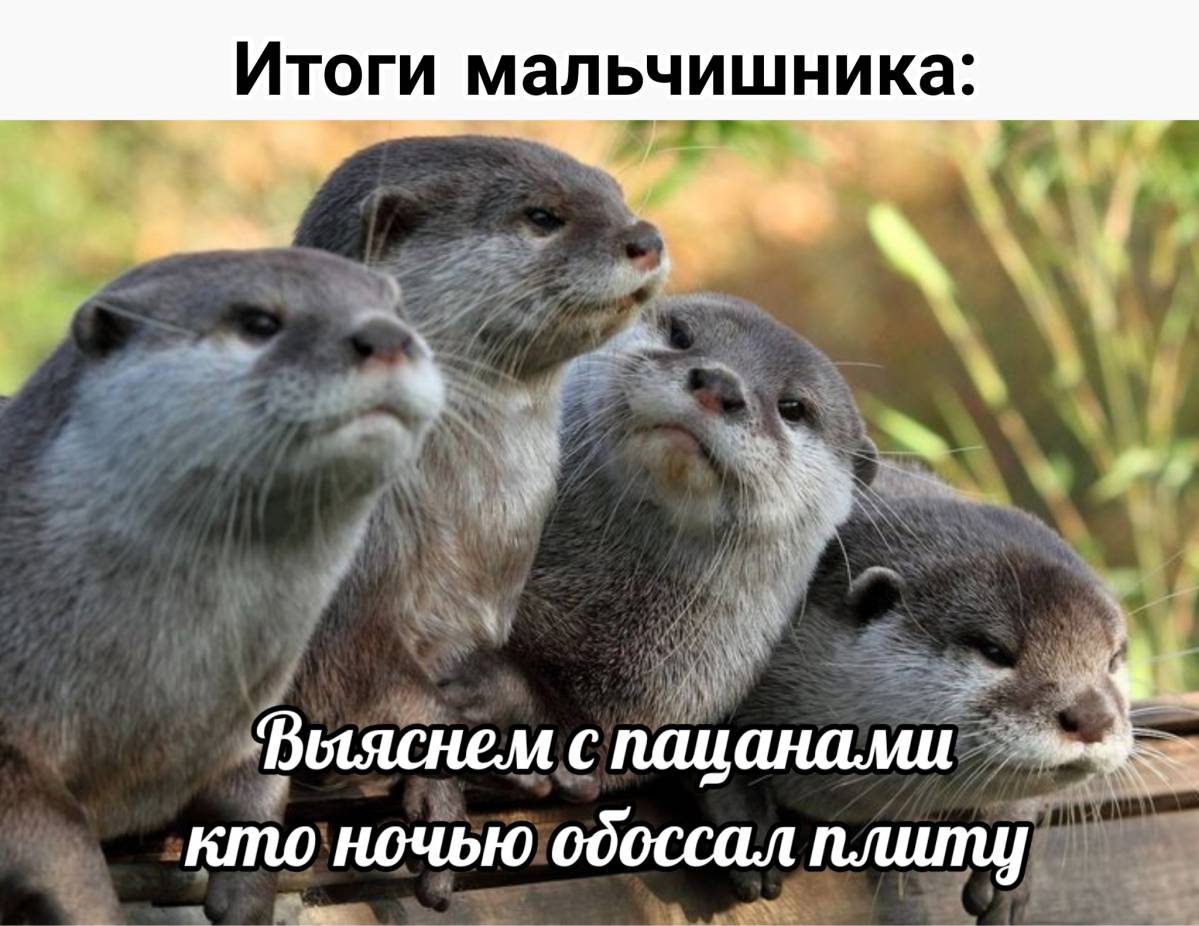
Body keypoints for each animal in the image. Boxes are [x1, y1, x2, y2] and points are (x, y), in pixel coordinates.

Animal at [0, 249, 443, 923]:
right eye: (259, 321)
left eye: (397, 309)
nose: (388, 336)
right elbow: (56, 839)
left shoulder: (250, 713)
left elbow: (258, 793)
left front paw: (247, 898)